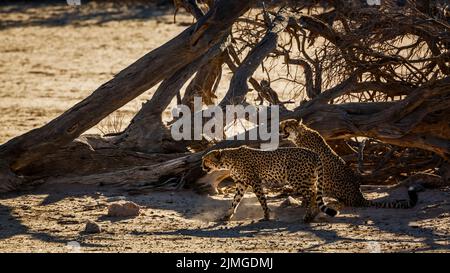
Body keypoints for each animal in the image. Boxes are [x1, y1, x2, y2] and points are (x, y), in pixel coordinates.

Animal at [201, 146, 338, 222]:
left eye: (206, 160)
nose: (201, 166)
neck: (228, 161)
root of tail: (314, 153)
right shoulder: (241, 184)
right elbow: (235, 201)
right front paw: (227, 216)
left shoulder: (255, 182)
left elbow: (262, 200)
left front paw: (266, 216)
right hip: (309, 179)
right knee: (316, 194)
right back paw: (313, 214)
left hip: (296, 179)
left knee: (312, 194)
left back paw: (308, 216)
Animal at [278, 118, 418, 207]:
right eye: (281, 125)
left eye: (286, 125)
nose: (279, 129)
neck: (300, 134)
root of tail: (360, 195)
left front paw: (305, 203)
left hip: (330, 180)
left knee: (348, 202)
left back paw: (335, 201)